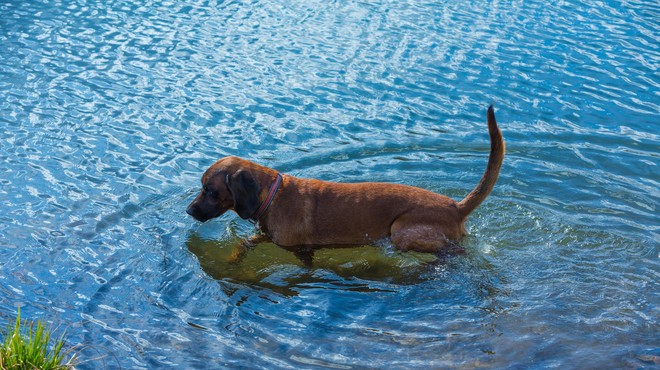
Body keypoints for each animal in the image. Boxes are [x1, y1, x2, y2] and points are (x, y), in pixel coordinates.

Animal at [187, 105, 506, 262]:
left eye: (209, 190)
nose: (188, 211)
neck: (272, 196)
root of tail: (456, 206)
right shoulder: (266, 236)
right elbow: (245, 244)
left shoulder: (299, 250)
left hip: (401, 232)